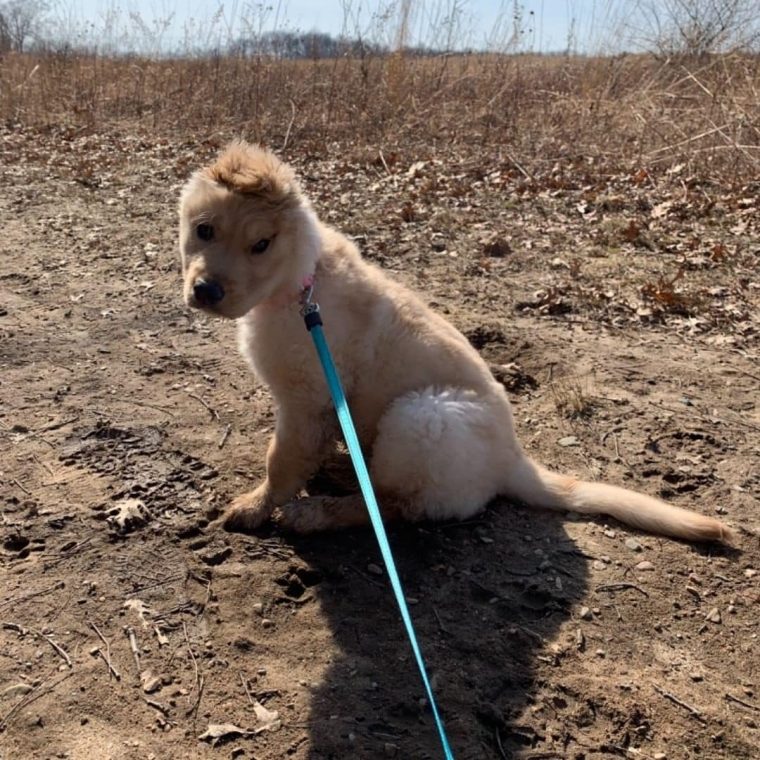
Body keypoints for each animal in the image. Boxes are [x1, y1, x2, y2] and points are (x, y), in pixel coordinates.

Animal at [180, 141, 736, 548]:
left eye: (260, 245)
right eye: (204, 230)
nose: (205, 291)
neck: (300, 284)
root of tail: (513, 463)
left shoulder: (304, 397)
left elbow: (281, 463)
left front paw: (256, 506)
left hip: (420, 416)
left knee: (395, 506)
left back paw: (317, 513)